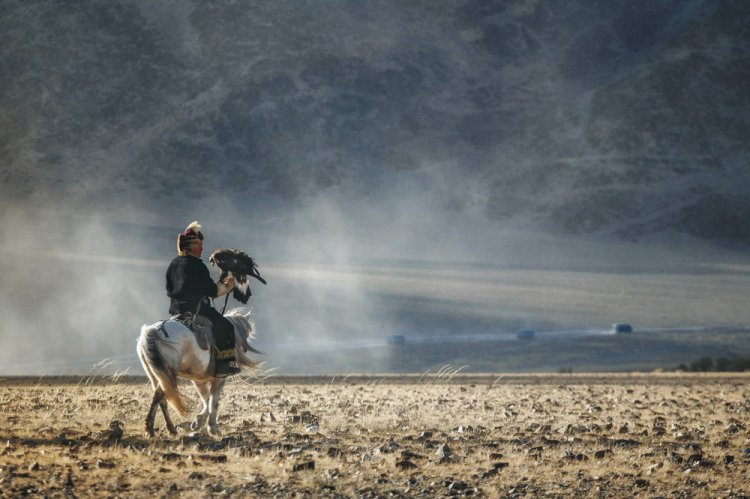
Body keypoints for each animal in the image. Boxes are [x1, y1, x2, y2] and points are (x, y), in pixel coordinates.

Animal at [137, 308, 262, 438]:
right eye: (247, 333)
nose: (244, 349)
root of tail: (153, 331)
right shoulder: (219, 379)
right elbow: (213, 402)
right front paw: (212, 428)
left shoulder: (198, 380)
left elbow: (205, 399)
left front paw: (198, 422)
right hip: (168, 374)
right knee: (158, 396)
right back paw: (150, 429)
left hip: (157, 375)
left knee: (162, 399)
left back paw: (170, 429)